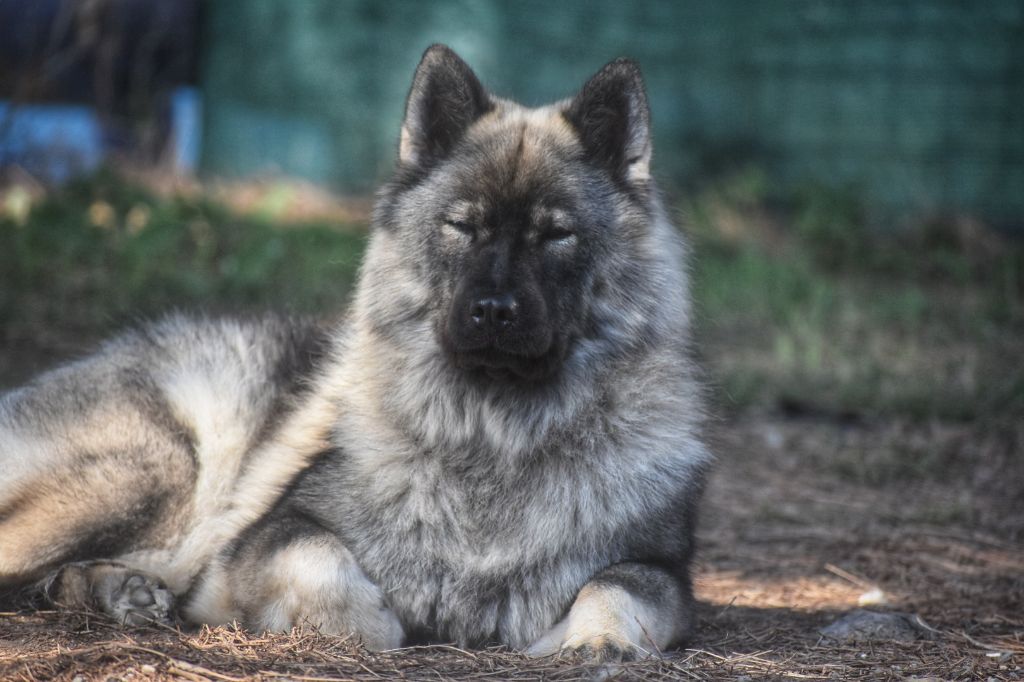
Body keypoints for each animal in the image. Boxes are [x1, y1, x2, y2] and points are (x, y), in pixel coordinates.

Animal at [2, 45, 712, 659]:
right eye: (462, 226)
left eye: (556, 234)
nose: (493, 310)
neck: (491, 437)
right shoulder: (263, 541)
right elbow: (324, 564)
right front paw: (369, 624)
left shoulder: (661, 572)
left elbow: (617, 585)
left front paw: (599, 641)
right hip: (157, 472)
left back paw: (116, 591)